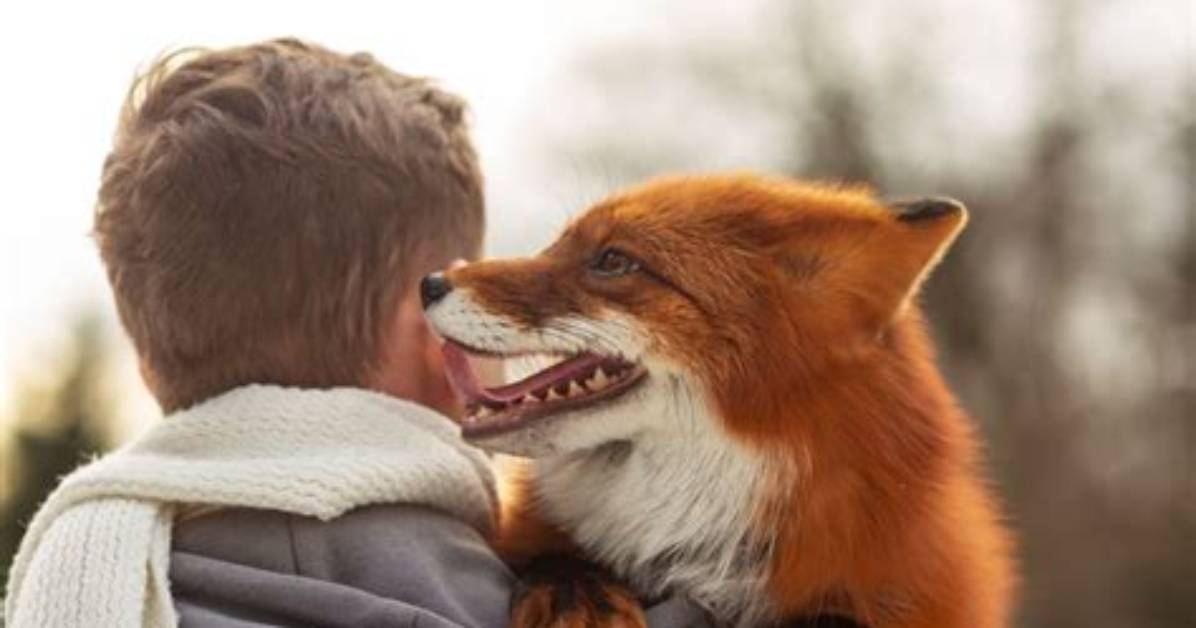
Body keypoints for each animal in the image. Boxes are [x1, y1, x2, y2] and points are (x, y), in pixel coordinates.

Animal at [420, 172, 1015, 628]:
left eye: (613, 260)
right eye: (558, 245)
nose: (430, 282)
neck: (703, 549)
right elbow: (556, 558)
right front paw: (577, 595)